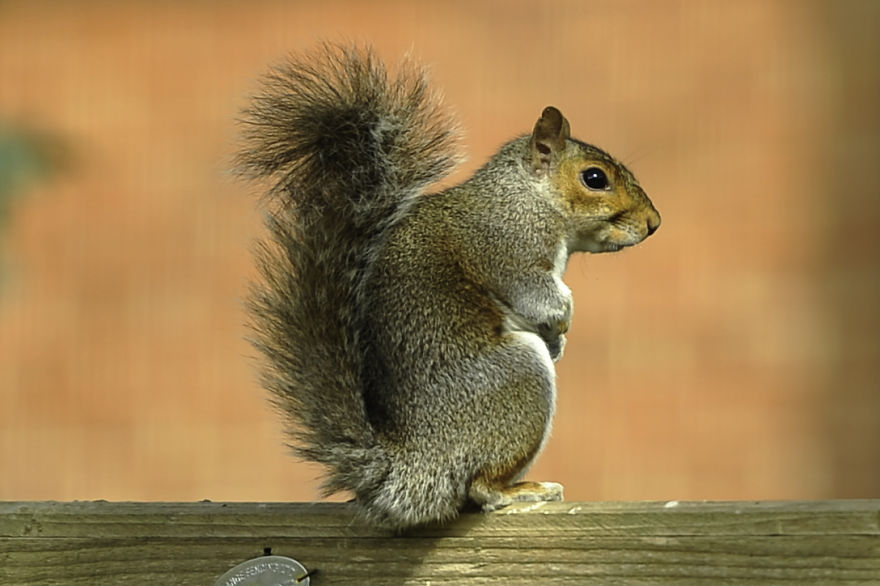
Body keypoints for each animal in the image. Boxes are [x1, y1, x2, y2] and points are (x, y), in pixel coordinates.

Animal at [236, 44, 660, 532]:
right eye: (594, 178)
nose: (653, 223)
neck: (526, 196)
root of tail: (415, 469)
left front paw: (560, 342)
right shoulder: (511, 250)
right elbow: (540, 297)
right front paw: (564, 320)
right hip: (519, 378)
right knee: (481, 487)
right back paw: (521, 490)